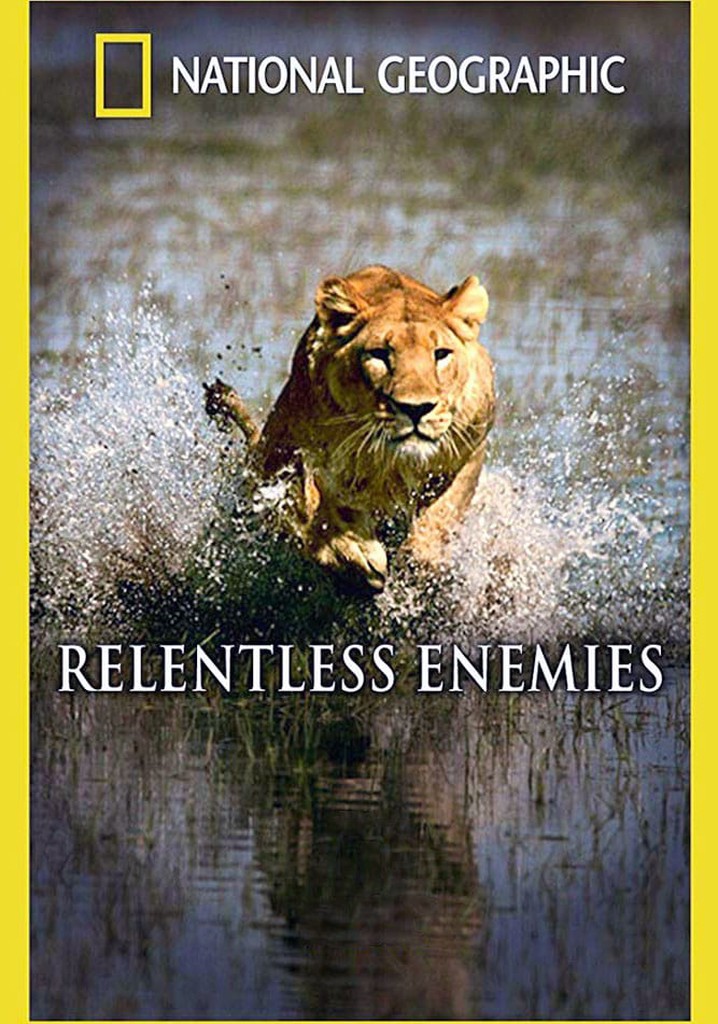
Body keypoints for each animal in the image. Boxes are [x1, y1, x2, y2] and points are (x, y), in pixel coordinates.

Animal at [205, 265, 495, 593]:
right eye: (380, 354)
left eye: (441, 353)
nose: (416, 409)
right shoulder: (278, 455)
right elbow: (308, 507)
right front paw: (354, 549)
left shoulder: (470, 447)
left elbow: (444, 512)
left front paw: (421, 565)